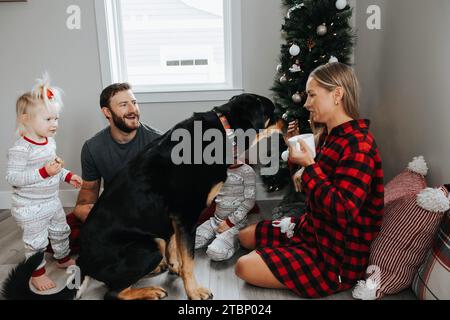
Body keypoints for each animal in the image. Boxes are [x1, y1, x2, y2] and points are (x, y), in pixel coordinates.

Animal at [0, 92, 282, 300]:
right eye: (275, 110)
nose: (288, 118)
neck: (225, 131)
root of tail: (83, 263)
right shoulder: (186, 216)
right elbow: (189, 260)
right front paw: (194, 291)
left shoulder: (172, 219)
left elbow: (175, 248)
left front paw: (174, 267)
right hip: (147, 246)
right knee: (112, 293)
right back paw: (150, 291)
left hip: (152, 242)